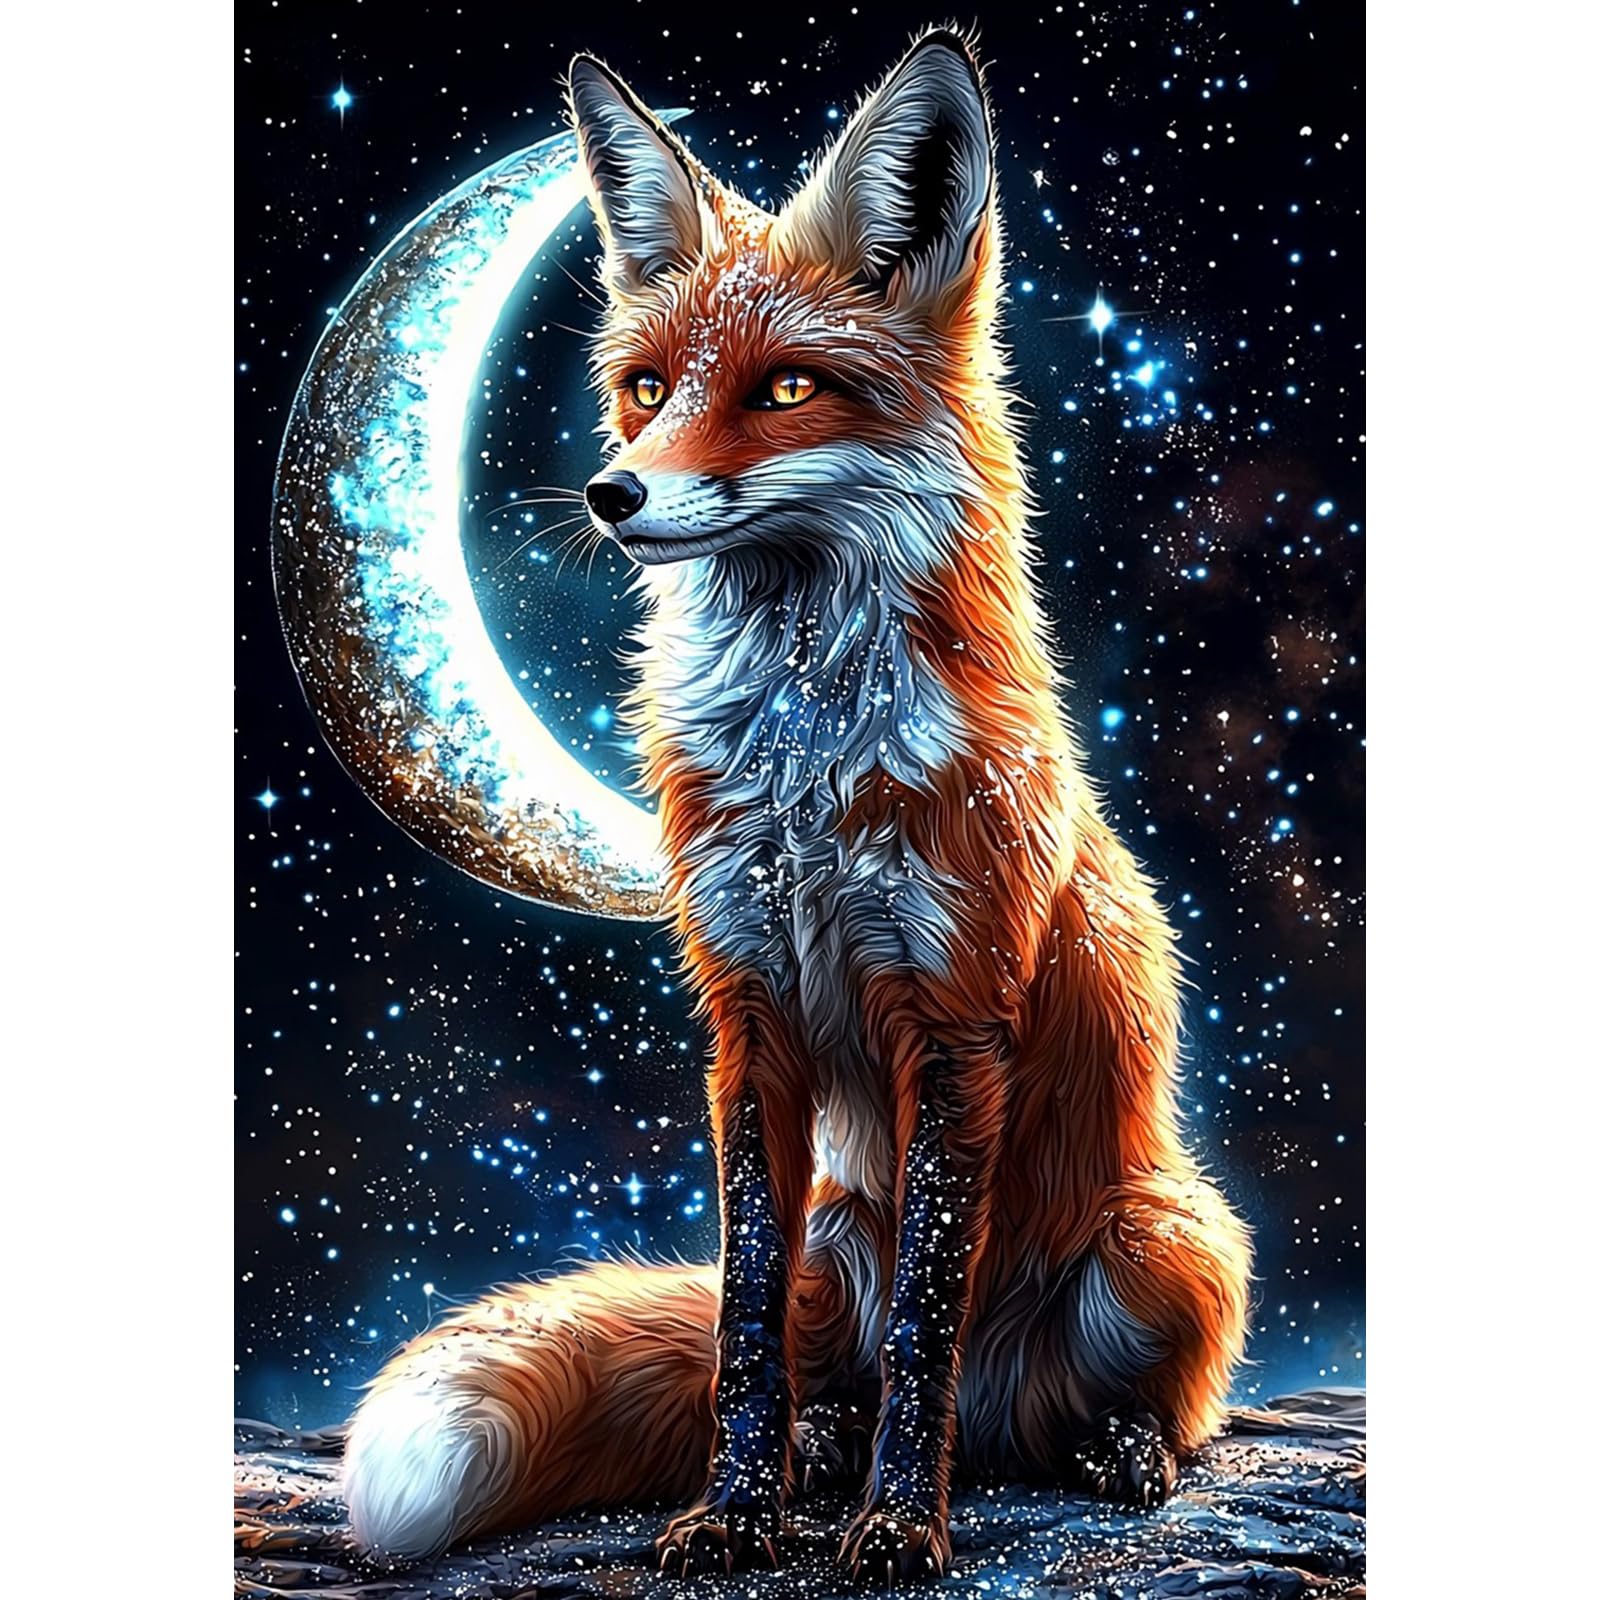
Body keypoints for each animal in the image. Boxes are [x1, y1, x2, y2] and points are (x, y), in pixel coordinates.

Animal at [341, 29, 1251, 1583]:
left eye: (782, 391)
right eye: (648, 385)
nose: (613, 493)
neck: (803, 778)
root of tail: (1008, 1418)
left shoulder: (957, 1022)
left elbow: (932, 1324)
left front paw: (897, 1528)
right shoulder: (746, 1017)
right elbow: (741, 1323)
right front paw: (741, 1508)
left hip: (1163, 1242)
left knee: (1103, 1403)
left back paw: (1107, 1449)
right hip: (842, 1240)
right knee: (835, 1362)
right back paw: (827, 1447)